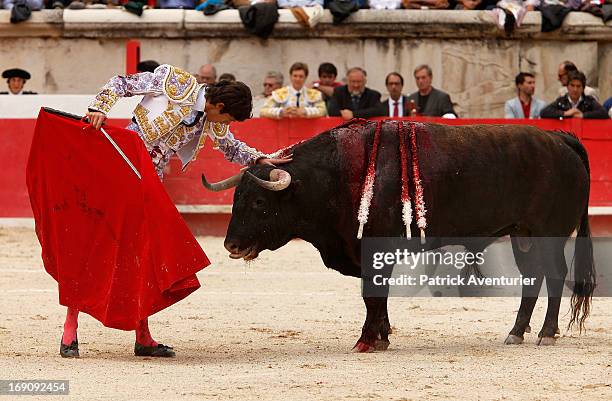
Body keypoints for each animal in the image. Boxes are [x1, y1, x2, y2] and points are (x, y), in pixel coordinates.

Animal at [203, 120, 596, 352]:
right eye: (236, 199)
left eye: (258, 201)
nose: (231, 245)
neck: (335, 176)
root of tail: (560, 138)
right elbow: (377, 298)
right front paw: (382, 335)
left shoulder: (374, 250)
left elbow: (372, 295)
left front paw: (367, 340)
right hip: (522, 234)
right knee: (533, 277)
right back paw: (516, 332)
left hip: (550, 232)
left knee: (555, 275)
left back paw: (546, 333)